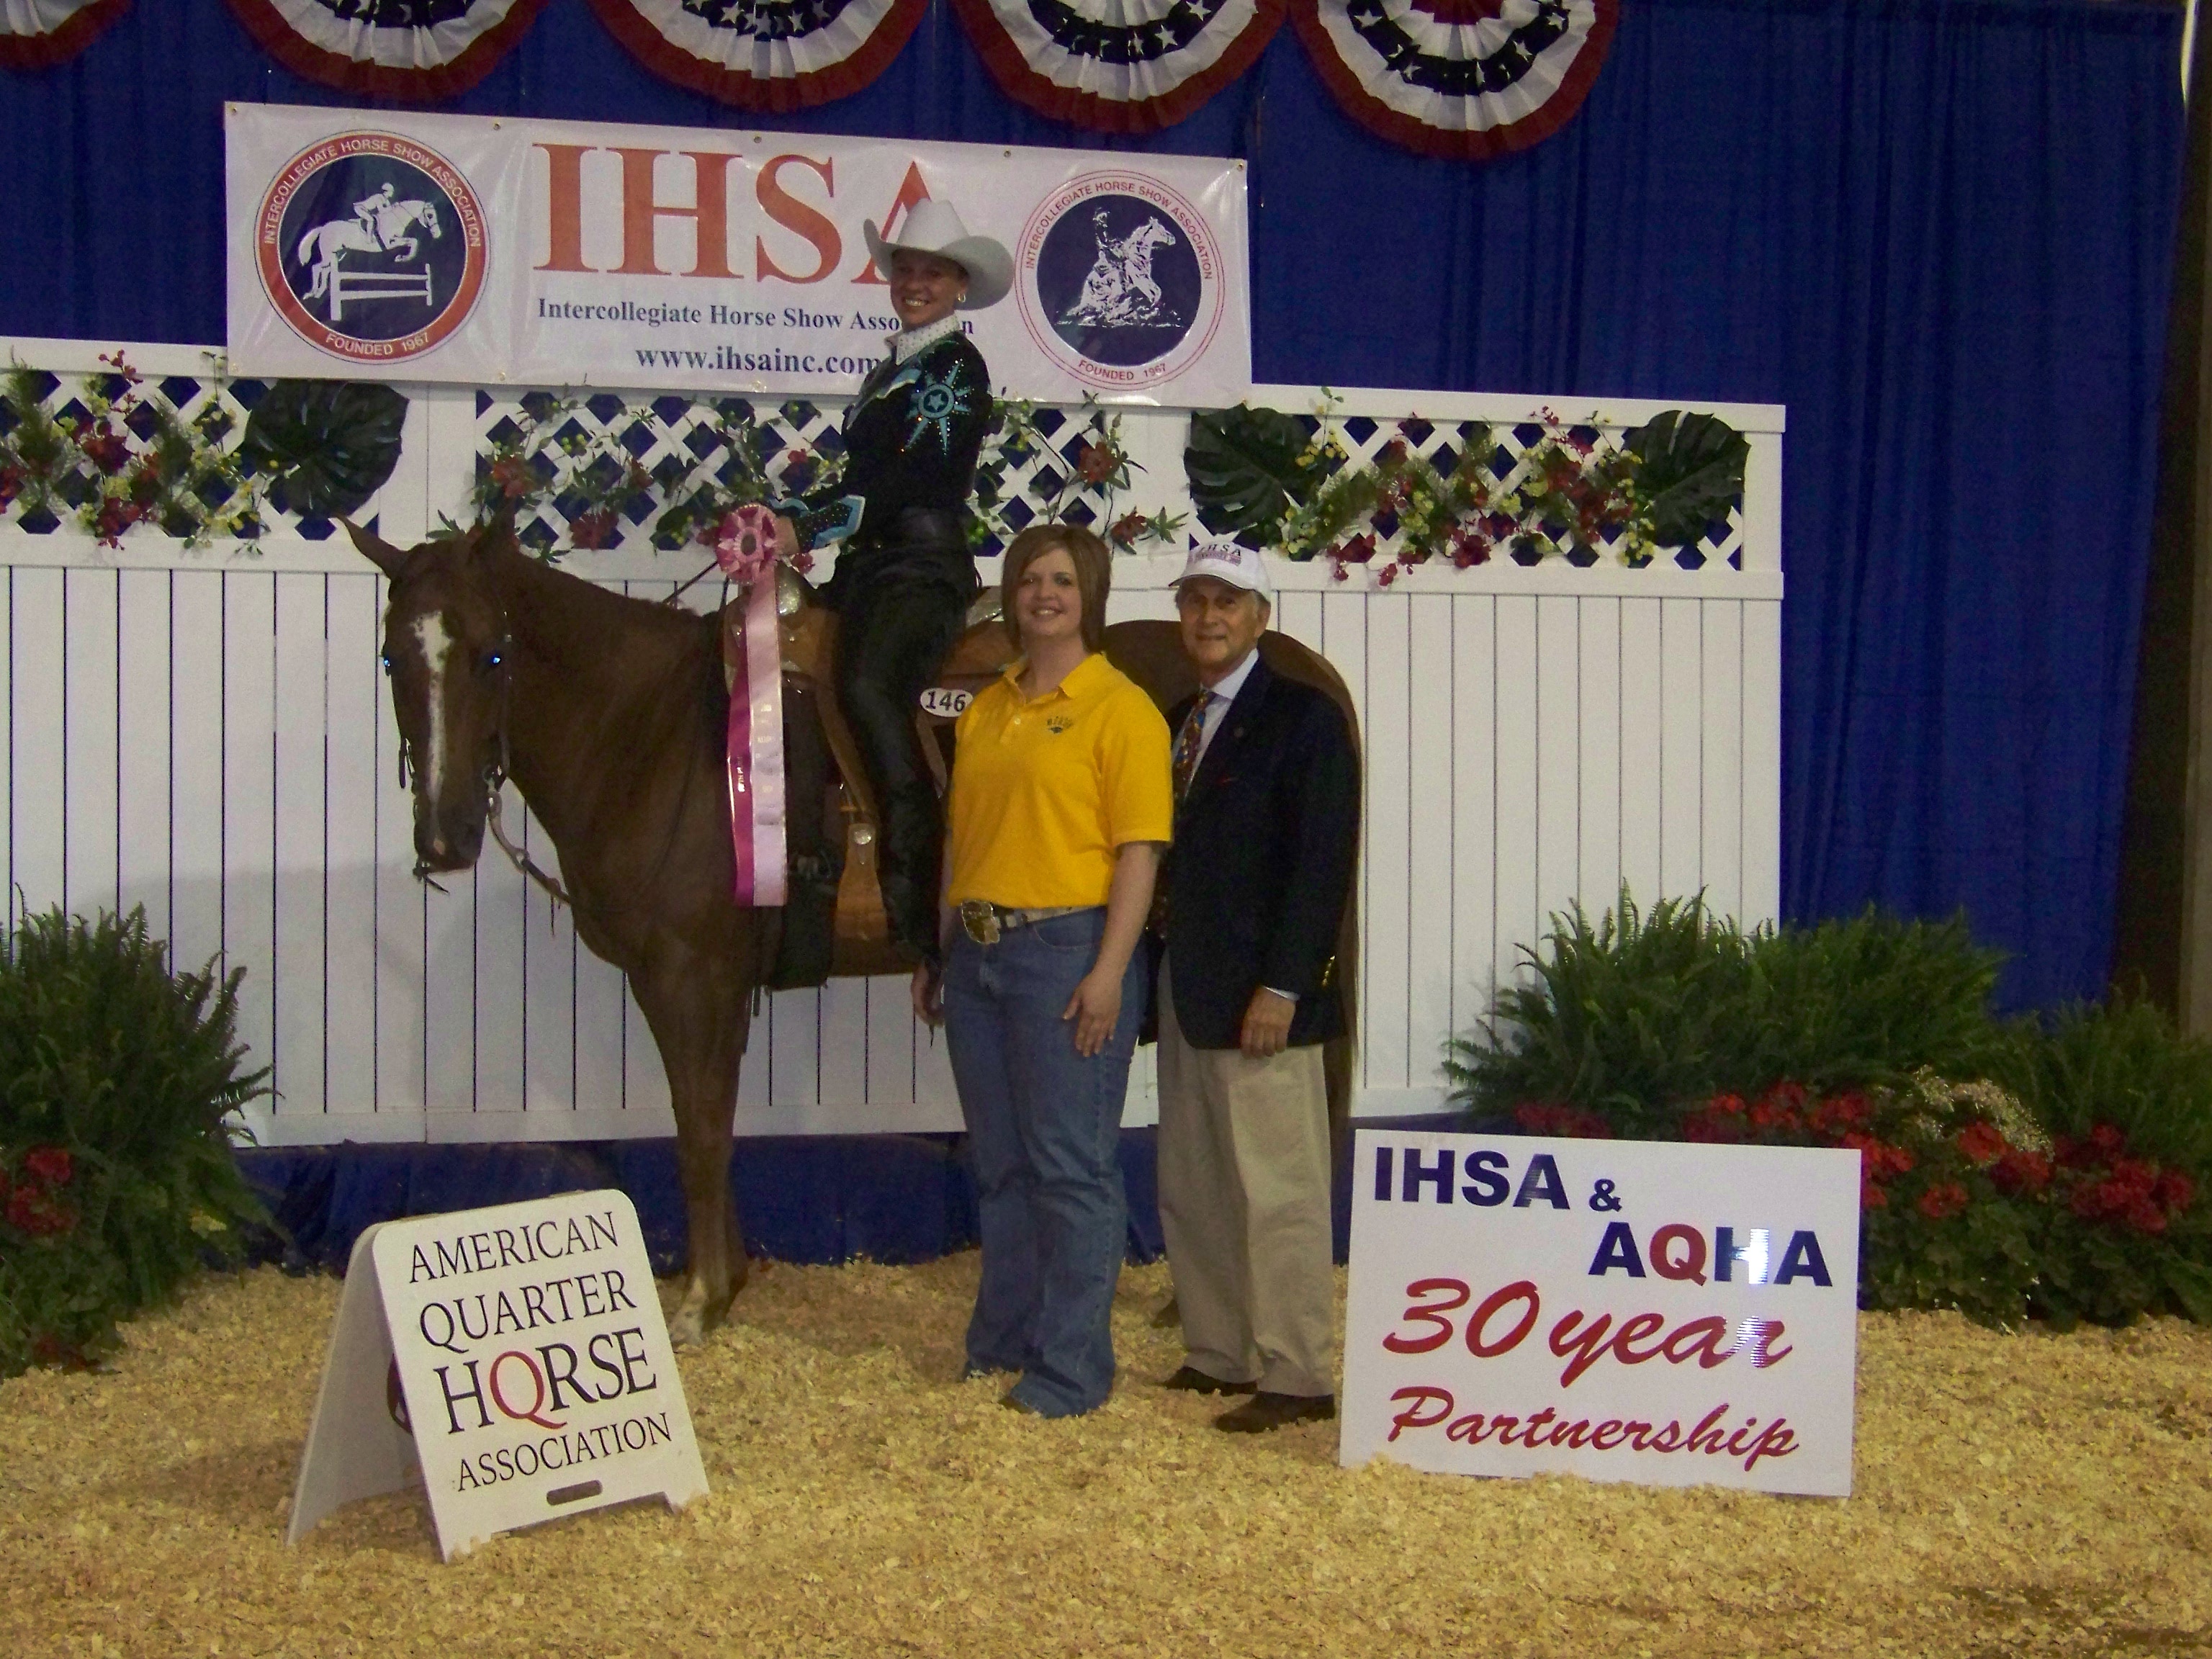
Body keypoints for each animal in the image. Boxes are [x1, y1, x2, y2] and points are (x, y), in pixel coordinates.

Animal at [298, 200, 444, 307]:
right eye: (430, 216)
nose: (438, 234)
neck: (395, 219)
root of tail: (323, 228)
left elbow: (414, 241)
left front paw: (403, 258)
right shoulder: (390, 243)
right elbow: (413, 241)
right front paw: (402, 258)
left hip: (337, 254)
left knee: (325, 270)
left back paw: (318, 293)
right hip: (329, 255)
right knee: (316, 268)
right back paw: (312, 293)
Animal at [345, 519, 1354, 1354]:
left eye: (490, 654)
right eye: (394, 658)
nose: (444, 838)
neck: (657, 737)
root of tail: (1281, 660)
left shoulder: (689, 975)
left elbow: (699, 1128)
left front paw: (700, 1303)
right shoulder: (697, 985)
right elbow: (707, 1121)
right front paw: (728, 1282)